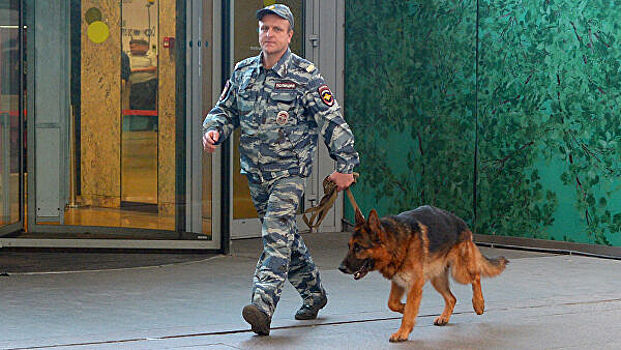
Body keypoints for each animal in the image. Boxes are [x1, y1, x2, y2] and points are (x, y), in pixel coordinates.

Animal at [340, 205, 508, 342]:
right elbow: (392, 303)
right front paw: (404, 308)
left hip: (459, 272)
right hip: (437, 280)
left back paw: (479, 303)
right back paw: (444, 317)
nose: (341, 268)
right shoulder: (398, 282)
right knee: (452, 298)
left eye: (358, 248)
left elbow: (407, 310)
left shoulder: (414, 284)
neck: (395, 243)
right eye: (348, 246)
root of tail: (462, 223)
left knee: (476, 276)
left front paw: (402, 332)